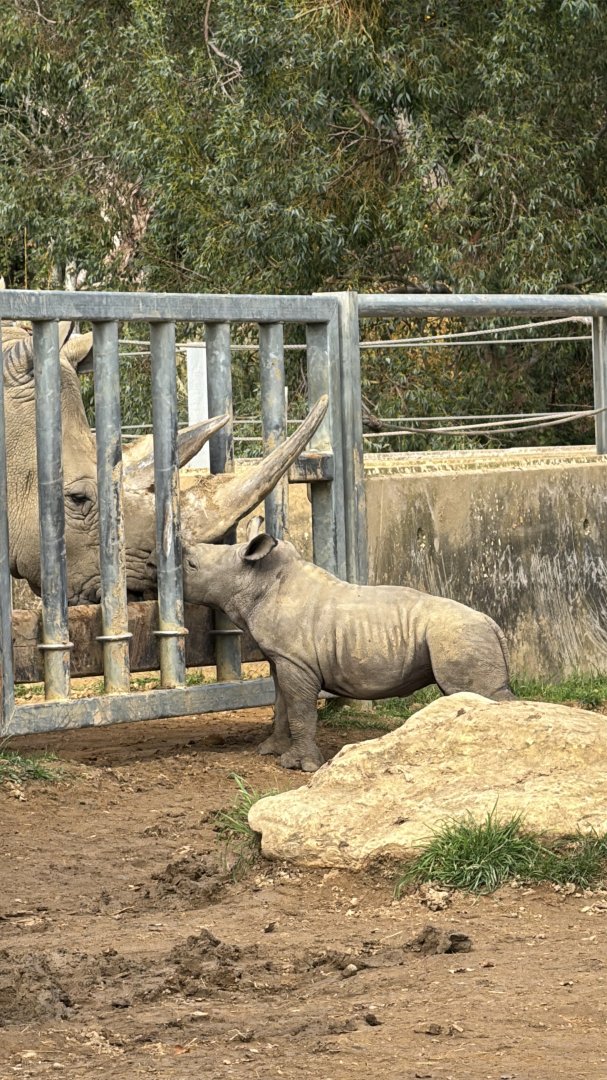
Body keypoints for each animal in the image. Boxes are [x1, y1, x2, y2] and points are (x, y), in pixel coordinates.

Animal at [183, 532, 515, 772]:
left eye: (191, 566)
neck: (257, 579)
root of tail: (491, 622)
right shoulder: (282, 658)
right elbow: (282, 704)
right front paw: (270, 750)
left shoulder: (297, 662)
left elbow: (300, 710)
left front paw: (300, 766)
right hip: (460, 633)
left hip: (457, 633)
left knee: (477, 692)